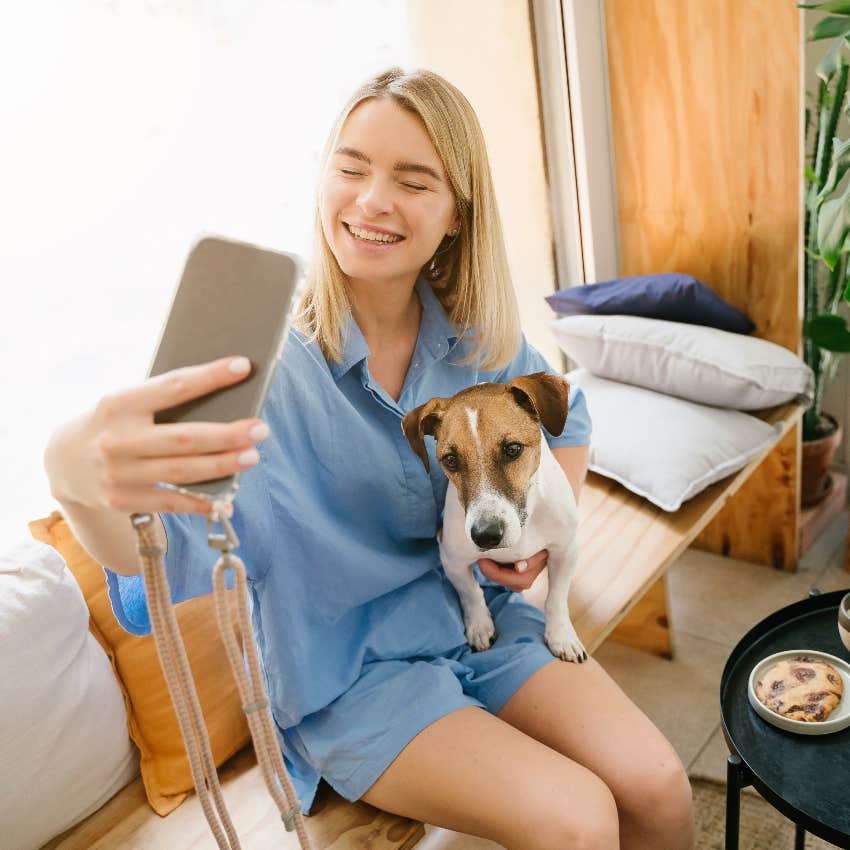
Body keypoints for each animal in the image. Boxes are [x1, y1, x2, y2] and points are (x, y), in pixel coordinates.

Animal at [400, 372, 588, 664]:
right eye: (451, 460)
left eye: (512, 449)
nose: (485, 536)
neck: (526, 521)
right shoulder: (452, 559)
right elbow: (471, 593)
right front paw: (479, 626)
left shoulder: (566, 550)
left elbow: (557, 597)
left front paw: (561, 635)